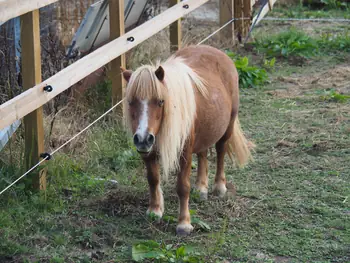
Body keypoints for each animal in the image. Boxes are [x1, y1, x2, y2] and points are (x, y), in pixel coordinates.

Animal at [121, 44, 253, 237]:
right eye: (131, 102)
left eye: (160, 101)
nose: (143, 138)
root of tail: (218, 53)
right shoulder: (148, 152)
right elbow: (153, 179)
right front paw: (155, 210)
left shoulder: (184, 152)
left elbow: (182, 187)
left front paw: (184, 223)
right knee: (203, 153)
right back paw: (201, 188)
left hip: (227, 127)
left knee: (220, 151)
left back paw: (219, 187)